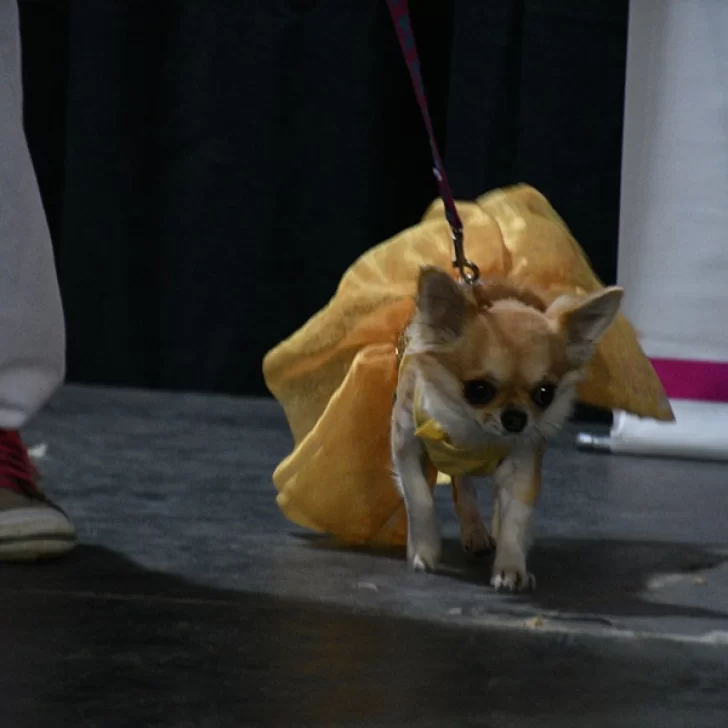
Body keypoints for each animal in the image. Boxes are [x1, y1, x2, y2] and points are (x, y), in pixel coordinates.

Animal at [390, 268, 624, 592]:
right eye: (478, 390)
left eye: (544, 393)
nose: (516, 418)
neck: (474, 433)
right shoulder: (405, 446)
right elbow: (419, 498)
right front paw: (423, 550)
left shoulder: (523, 461)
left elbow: (515, 517)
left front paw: (511, 567)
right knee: (461, 487)